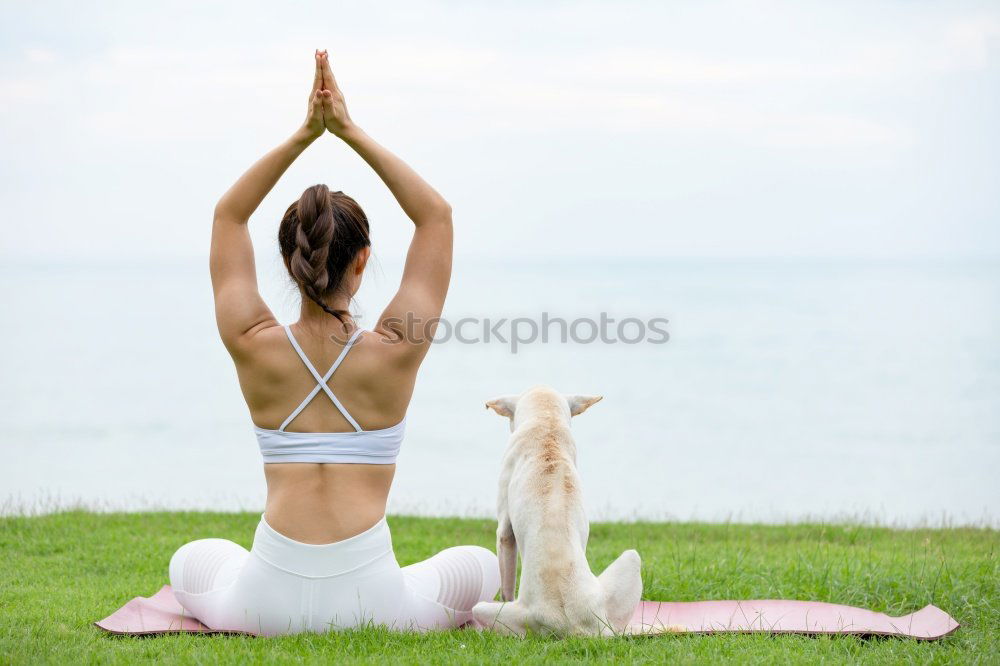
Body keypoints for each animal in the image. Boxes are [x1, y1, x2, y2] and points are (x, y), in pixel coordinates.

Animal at [472, 386, 644, 636]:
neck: (547, 424)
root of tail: (577, 627)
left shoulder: (504, 528)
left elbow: (506, 572)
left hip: (506, 614)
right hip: (623, 572)